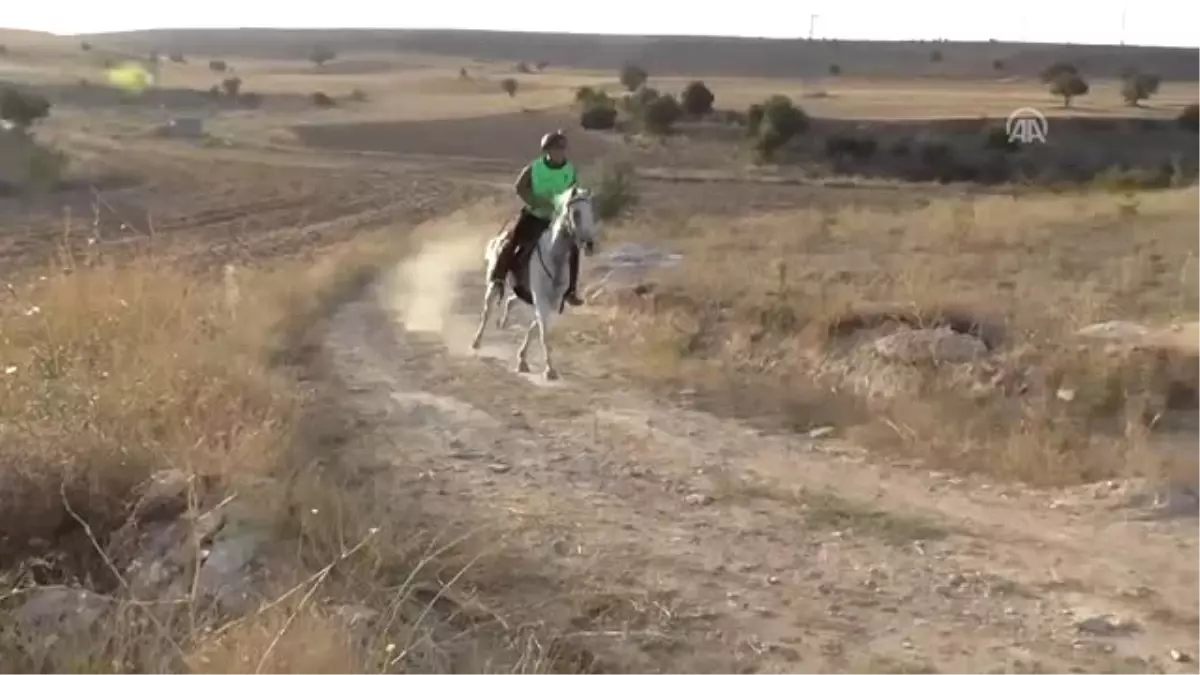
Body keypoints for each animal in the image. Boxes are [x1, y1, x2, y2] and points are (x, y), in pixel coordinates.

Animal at [468, 184, 600, 379]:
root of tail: (500, 236)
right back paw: (476, 342)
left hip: (522, 291)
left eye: (591, 211)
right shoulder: (541, 299)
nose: (590, 245)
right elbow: (543, 330)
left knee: (511, 301)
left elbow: (535, 326)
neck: (554, 257)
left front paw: (522, 360)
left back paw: (503, 322)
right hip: (494, 283)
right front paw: (549, 369)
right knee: (487, 310)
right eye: (576, 213)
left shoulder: (551, 302)